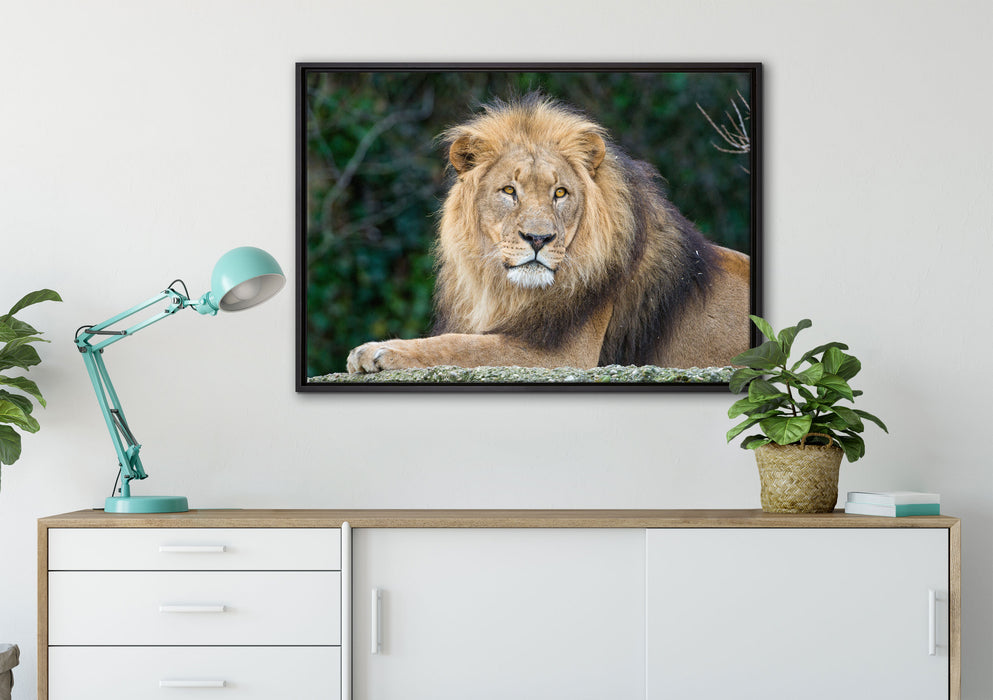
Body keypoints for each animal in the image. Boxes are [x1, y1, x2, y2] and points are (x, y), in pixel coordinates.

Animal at [346, 94, 750, 374]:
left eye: (560, 193)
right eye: (509, 190)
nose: (538, 239)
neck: (505, 290)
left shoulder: (563, 354)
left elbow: (461, 345)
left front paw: (379, 350)